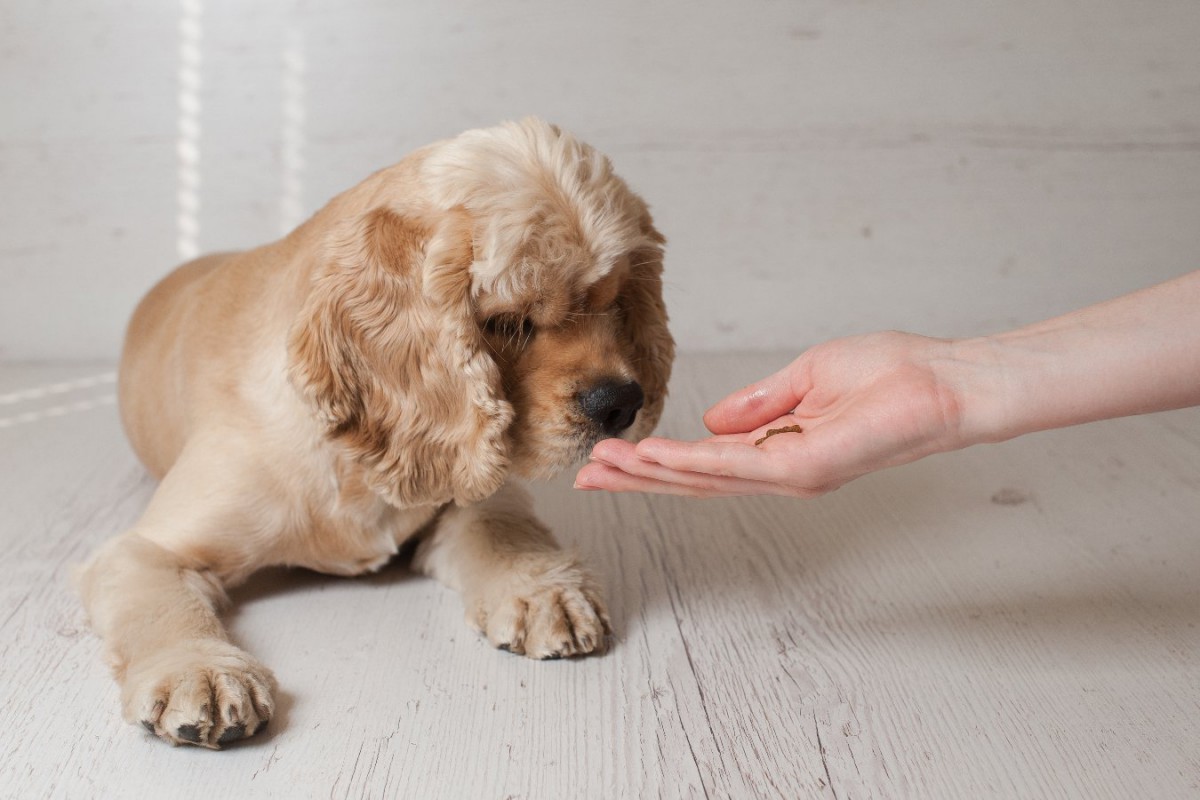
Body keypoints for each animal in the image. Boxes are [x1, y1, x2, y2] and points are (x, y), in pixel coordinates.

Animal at [77, 118, 676, 753]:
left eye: (615, 302)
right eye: (508, 323)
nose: (622, 402)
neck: (354, 465)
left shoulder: (469, 490)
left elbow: (502, 525)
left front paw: (543, 589)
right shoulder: (142, 551)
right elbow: (160, 604)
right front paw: (200, 671)